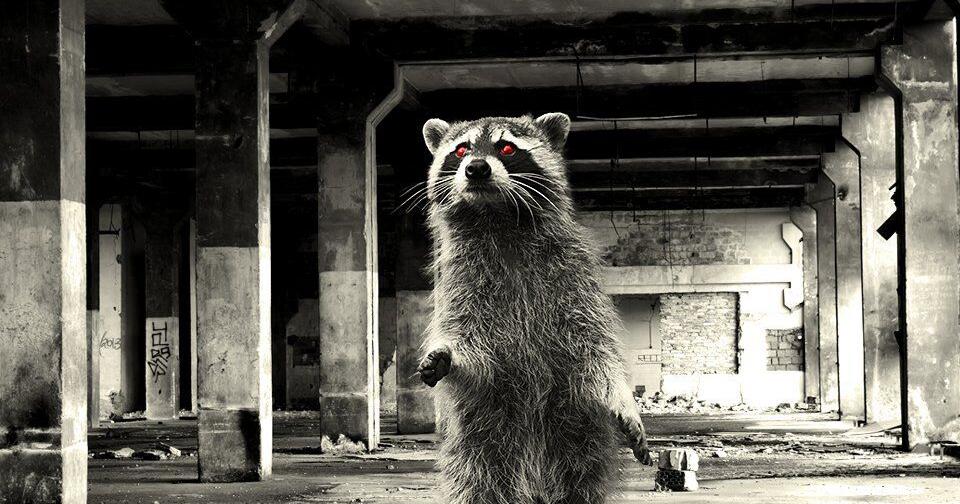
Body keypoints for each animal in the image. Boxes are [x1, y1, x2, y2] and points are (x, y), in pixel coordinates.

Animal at [416, 113, 652, 504]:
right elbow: (466, 335)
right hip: (481, 444)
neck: (497, 218)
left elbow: (598, 350)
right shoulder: (457, 281)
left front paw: (624, 399)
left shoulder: (575, 278)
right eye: (461, 149)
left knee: (581, 480)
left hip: (577, 439)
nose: (476, 168)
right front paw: (449, 353)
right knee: (477, 481)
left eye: (507, 148)